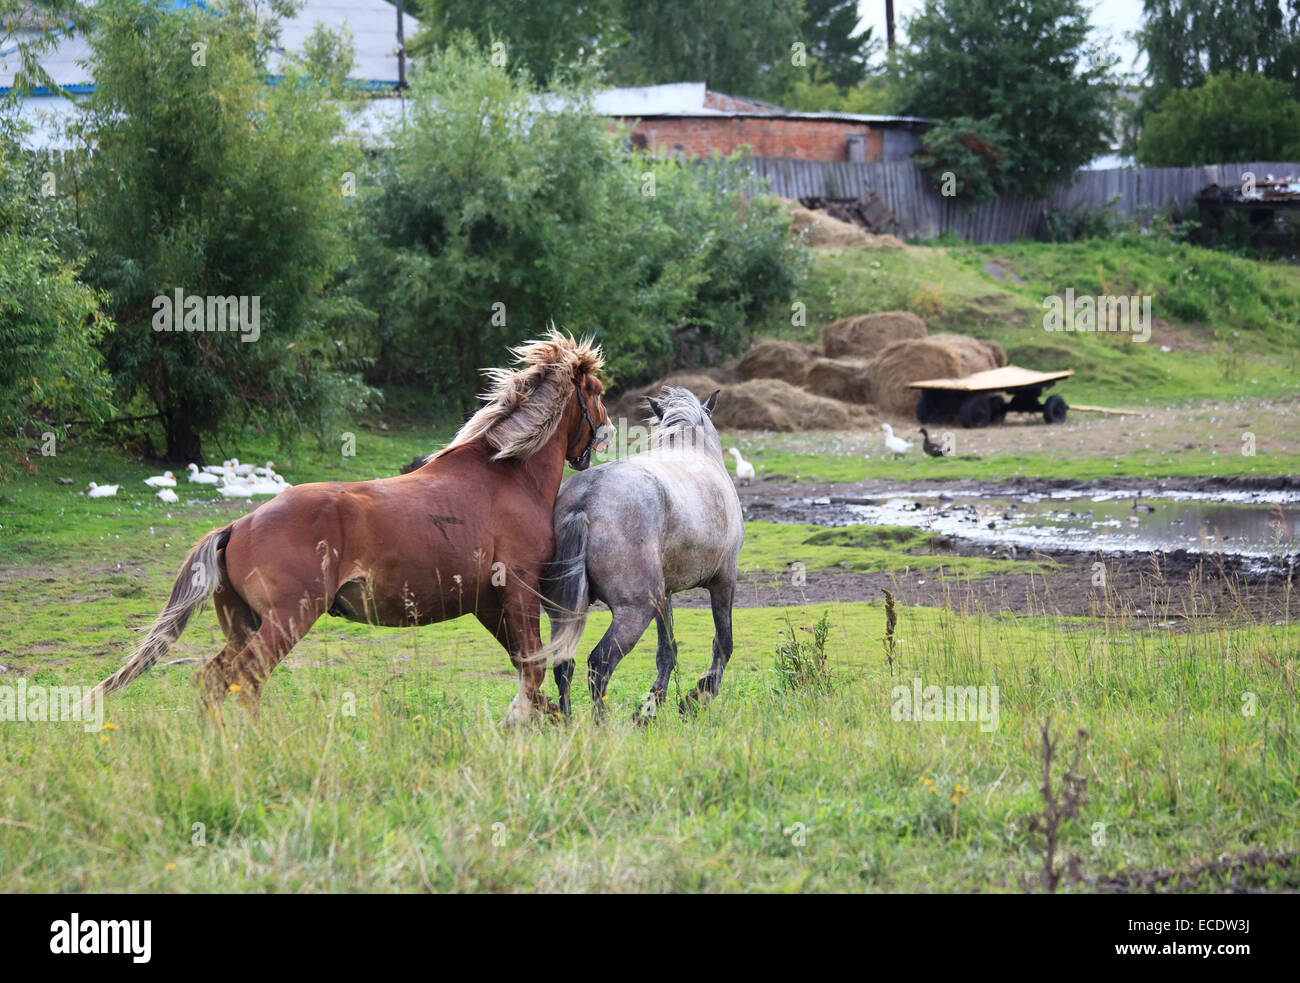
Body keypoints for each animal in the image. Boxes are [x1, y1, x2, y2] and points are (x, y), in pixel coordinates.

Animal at [80, 331, 613, 724]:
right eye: (597, 393)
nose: (605, 434)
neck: (506, 475)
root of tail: (238, 524)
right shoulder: (518, 592)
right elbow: (533, 670)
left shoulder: (486, 603)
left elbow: (529, 671)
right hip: (285, 621)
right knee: (247, 679)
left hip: (243, 625)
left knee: (213, 679)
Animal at [539, 387, 745, 720]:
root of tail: (586, 499)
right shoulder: (724, 580)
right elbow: (723, 643)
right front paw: (696, 697)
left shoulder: (665, 595)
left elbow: (667, 650)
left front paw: (653, 705)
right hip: (634, 611)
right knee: (599, 662)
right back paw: (601, 723)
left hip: (565, 611)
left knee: (564, 664)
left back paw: (568, 721)